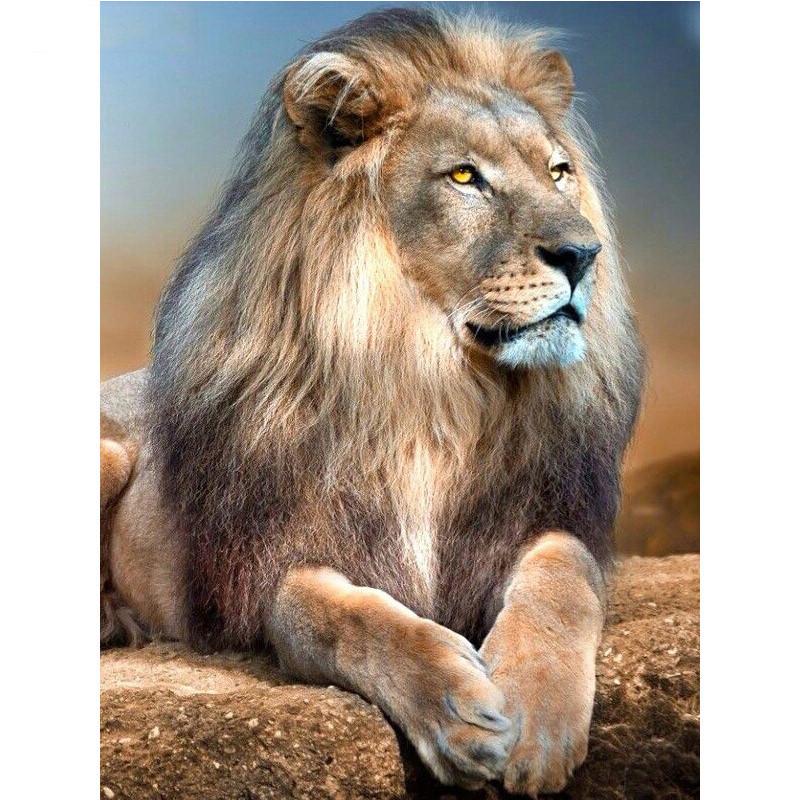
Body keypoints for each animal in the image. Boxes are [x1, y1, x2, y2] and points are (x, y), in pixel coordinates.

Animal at [100, 8, 644, 796]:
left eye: (558, 172)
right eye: (464, 177)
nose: (583, 254)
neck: (433, 389)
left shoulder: (542, 513)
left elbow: (562, 577)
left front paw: (537, 719)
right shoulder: (277, 561)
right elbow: (342, 617)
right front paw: (458, 713)